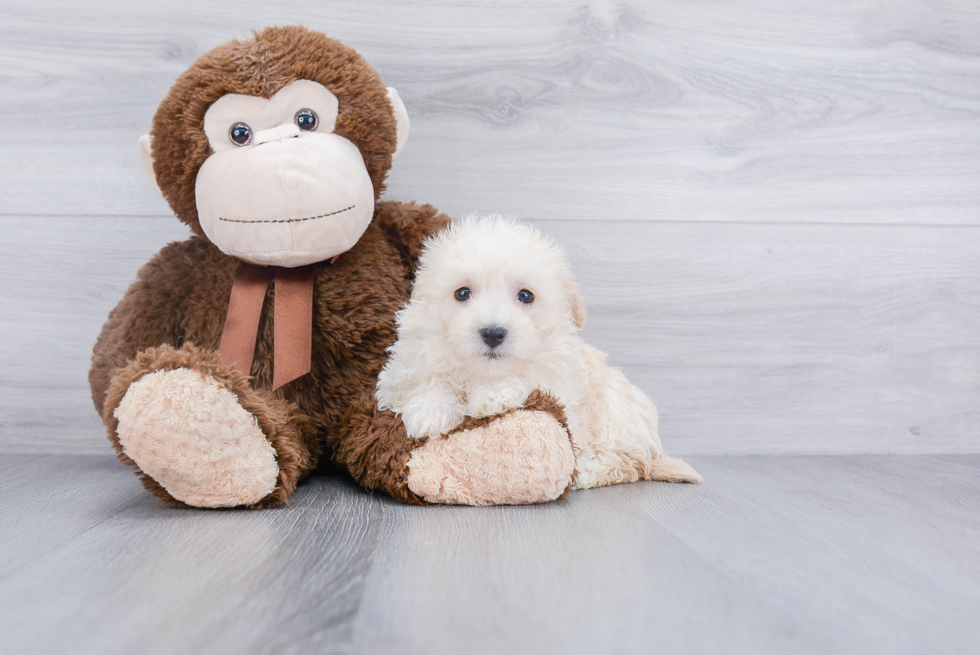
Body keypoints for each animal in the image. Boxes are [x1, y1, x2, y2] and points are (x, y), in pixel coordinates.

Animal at [378, 213, 704, 490]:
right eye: (462, 293)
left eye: (526, 296)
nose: (493, 333)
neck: (482, 372)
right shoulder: (404, 369)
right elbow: (426, 380)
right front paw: (430, 411)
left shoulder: (559, 387)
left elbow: (526, 380)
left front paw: (493, 396)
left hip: (616, 411)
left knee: (626, 463)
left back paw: (585, 472)